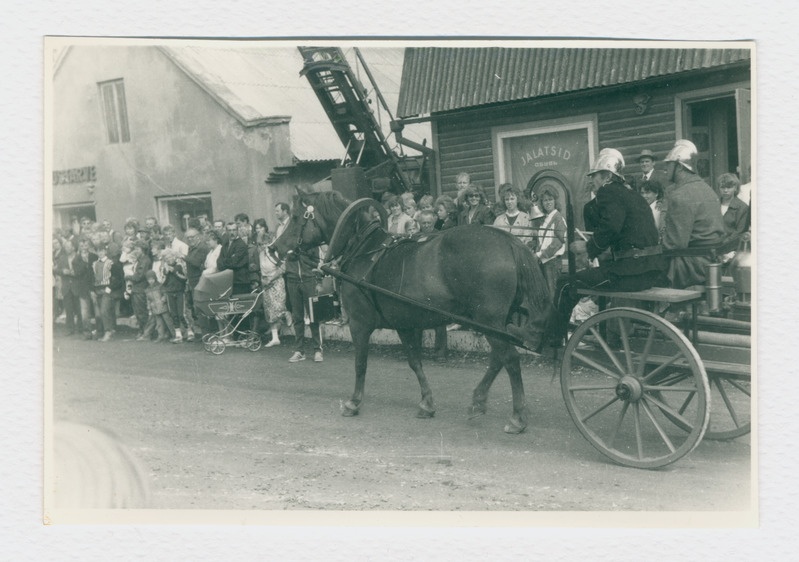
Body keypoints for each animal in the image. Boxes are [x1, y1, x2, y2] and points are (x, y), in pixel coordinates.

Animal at [272, 188, 552, 434]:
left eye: (295, 217)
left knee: (510, 359)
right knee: (498, 358)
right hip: (493, 322)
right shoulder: (404, 324)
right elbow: (414, 362)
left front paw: (353, 402)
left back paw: (517, 417)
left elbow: (360, 364)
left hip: (488, 319)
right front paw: (426, 403)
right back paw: (478, 401)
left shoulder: (359, 324)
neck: (363, 249)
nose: (274, 247)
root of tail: (508, 241)